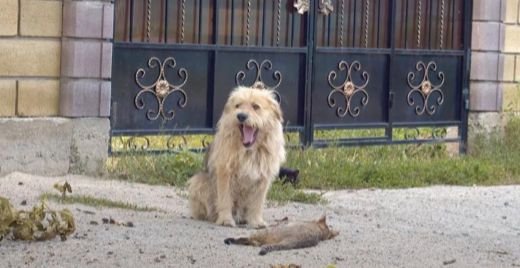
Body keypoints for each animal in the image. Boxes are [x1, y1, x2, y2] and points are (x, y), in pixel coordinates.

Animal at [187, 85, 284, 227]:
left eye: (256, 106)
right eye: (238, 106)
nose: (241, 116)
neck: (248, 151)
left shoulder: (262, 178)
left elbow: (257, 202)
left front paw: (256, 221)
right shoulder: (225, 173)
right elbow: (225, 198)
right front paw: (225, 220)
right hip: (198, 182)